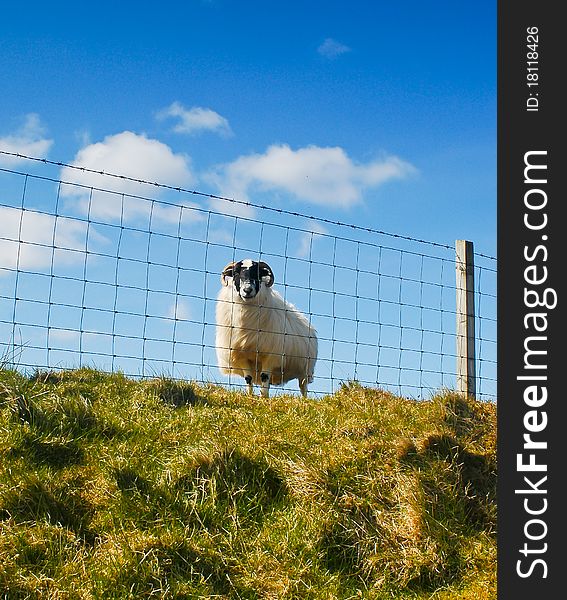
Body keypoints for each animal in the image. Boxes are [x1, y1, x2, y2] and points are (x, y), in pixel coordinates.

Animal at [215, 258, 318, 396]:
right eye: (236, 273)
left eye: (258, 274)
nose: (247, 290)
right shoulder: (242, 356)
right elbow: (248, 379)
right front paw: (251, 396)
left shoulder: (270, 355)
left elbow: (264, 377)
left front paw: (264, 398)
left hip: (304, 370)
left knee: (303, 387)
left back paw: (305, 399)